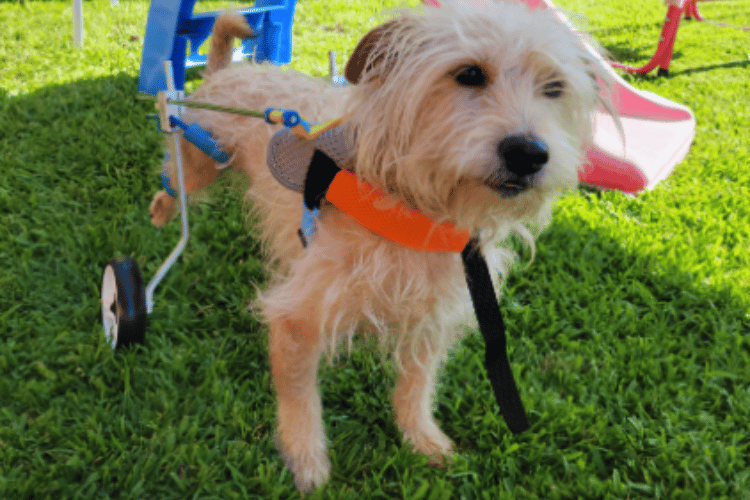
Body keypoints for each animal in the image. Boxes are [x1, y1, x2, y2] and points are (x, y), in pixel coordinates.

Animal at [150, 0, 612, 492]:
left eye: (554, 87)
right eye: (469, 74)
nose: (529, 154)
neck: (414, 209)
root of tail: (231, 72)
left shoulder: (432, 319)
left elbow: (416, 386)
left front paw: (421, 437)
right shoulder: (296, 319)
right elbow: (299, 396)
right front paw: (305, 458)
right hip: (200, 160)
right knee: (173, 183)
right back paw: (161, 213)